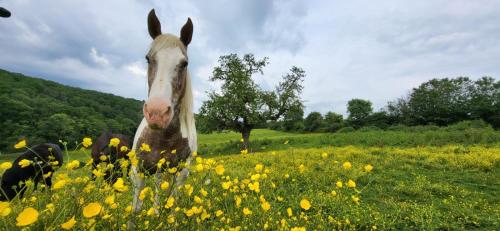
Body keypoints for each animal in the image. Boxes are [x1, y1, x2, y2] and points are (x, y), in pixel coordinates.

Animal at [130, 8, 196, 217]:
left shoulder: (181, 172)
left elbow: (173, 205)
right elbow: (135, 209)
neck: (164, 137)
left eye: (184, 63)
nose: (157, 112)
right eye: (148, 58)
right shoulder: (138, 171)